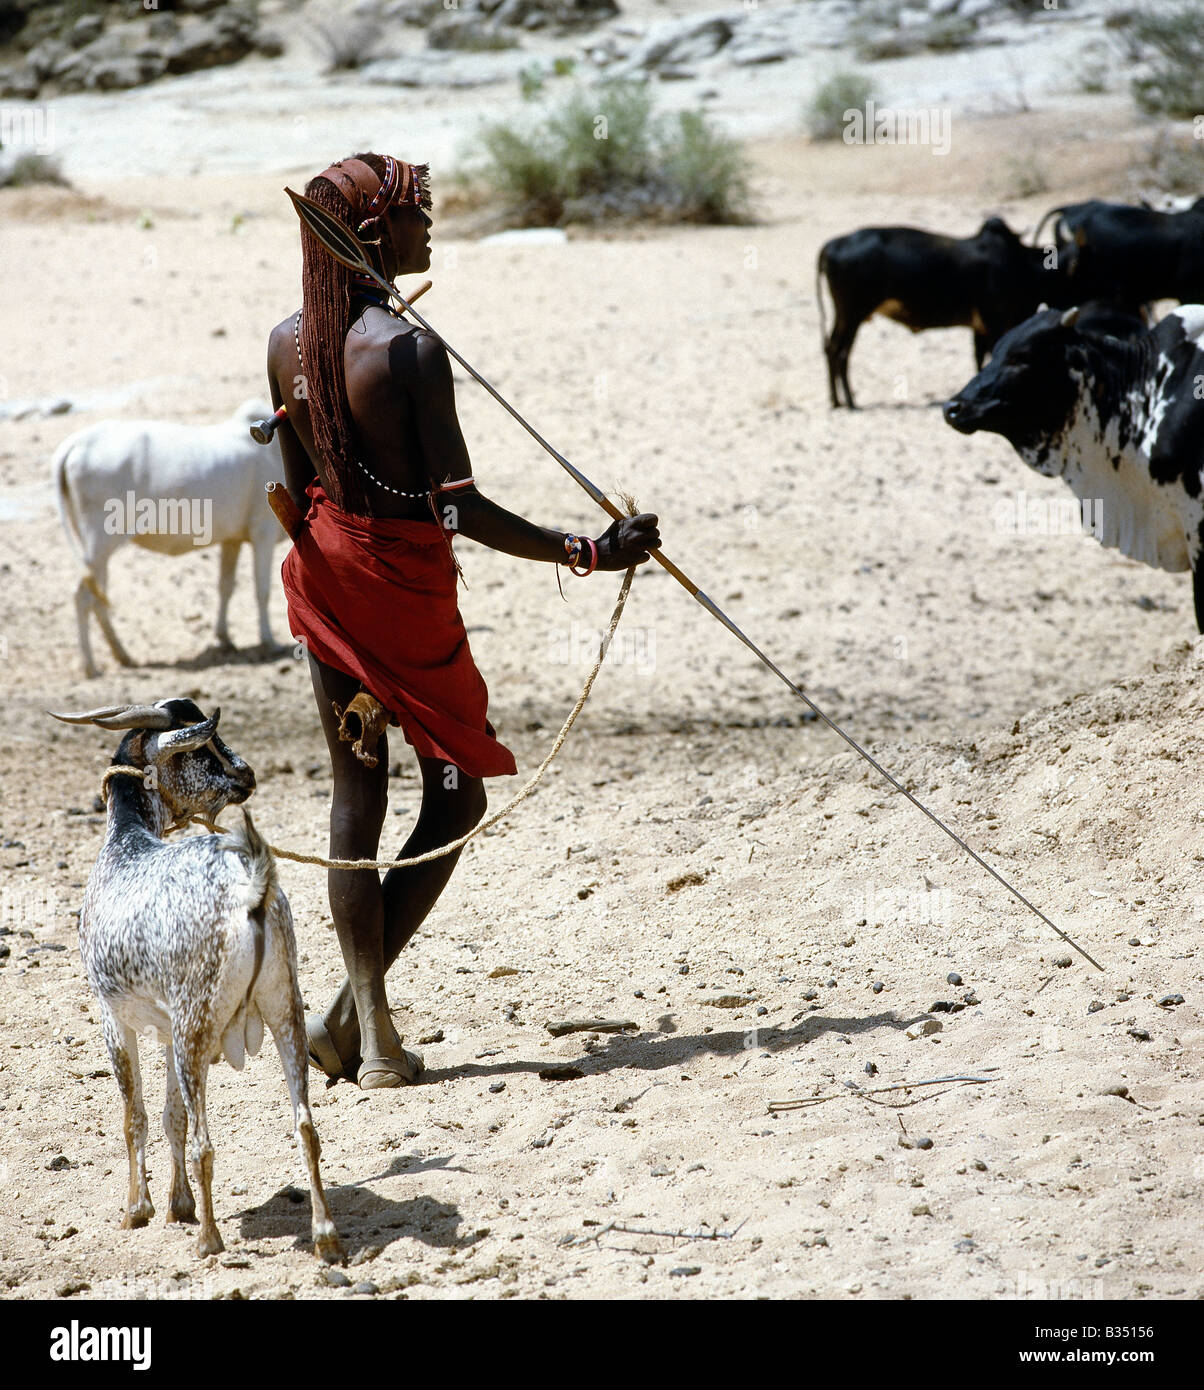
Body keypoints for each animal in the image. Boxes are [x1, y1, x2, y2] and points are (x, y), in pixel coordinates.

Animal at [52, 700, 342, 1267]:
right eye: (204, 749)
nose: (247, 774)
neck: (126, 844)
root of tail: (249, 886)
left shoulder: (114, 1018)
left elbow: (136, 1116)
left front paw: (138, 1209)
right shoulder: (165, 1030)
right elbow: (172, 1117)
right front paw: (177, 1205)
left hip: (196, 1020)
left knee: (208, 1142)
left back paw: (210, 1239)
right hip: (283, 1006)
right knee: (306, 1125)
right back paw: (325, 1235)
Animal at [54, 397, 286, 678]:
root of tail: (78, 442)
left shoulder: (232, 539)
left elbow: (226, 586)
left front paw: (224, 638)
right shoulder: (263, 530)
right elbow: (262, 589)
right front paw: (269, 641)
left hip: (97, 550)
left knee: (98, 596)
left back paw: (123, 655)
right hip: (100, 542)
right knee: (82, 597)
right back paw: (90, 666)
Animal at [811, 214, 1067, 405]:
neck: (1020, 266)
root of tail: (833, 244)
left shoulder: (979, 326)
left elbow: (979, 358)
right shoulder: (993, 321)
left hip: (845, 316)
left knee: (831, 348)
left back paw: (836, 400)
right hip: (852, 314)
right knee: (840, 352)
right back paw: (848, 402)